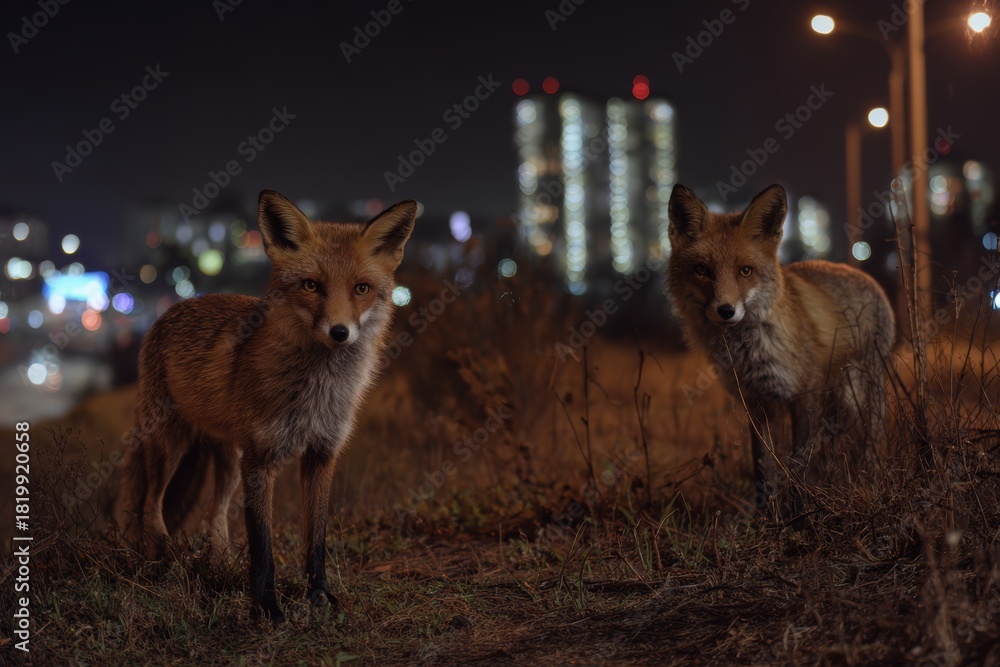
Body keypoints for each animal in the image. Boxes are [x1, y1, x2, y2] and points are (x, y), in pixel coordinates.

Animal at [114, 189, 416, 621]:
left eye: (361, 288)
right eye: (311, 285)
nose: (339, 332)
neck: (315, 392)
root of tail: (173, 308)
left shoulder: (321, 454)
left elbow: (316, 538)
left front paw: (319, 595)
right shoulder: (260, 461)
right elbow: (262, 547)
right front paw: (267, 608)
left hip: (227, 461)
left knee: (214, 515)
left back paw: (218, 567)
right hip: (171, 447)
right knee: (151, 505)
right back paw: (162, 563)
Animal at [666, 183, 895, 518]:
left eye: (745, 271)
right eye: (703, 270)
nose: (726, 311)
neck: (750, 352)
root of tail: (866, 277)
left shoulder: (805, 396)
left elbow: (798, 466)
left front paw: (799, 516)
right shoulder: (757, 403)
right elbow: (763, 468)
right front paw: (766, 518)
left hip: (867, 391)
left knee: (872, 440)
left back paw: (870, 479)